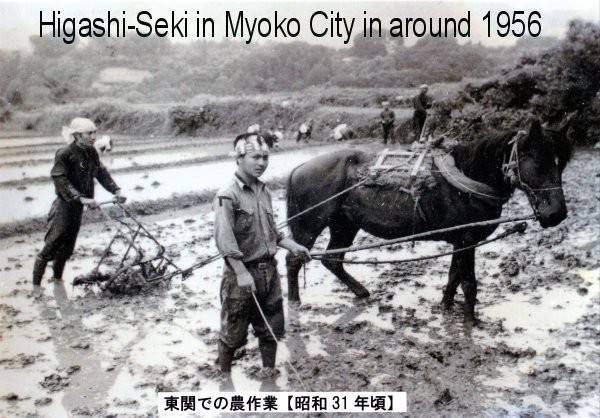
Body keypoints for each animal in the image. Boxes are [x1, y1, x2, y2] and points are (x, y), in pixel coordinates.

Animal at [285, 119, 572, 324]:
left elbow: (453, 276)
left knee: (333, 259)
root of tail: (297, 170)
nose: (556, 214)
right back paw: (294, 302)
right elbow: (469, 283)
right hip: (308, 227)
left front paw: (445, 307)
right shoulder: (467, 239)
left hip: (345, 224)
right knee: (293, 259)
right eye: (538, 162)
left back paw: (361, 292)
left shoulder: (461, 240)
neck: (468, 179)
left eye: (561, 164)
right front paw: (471, 322)